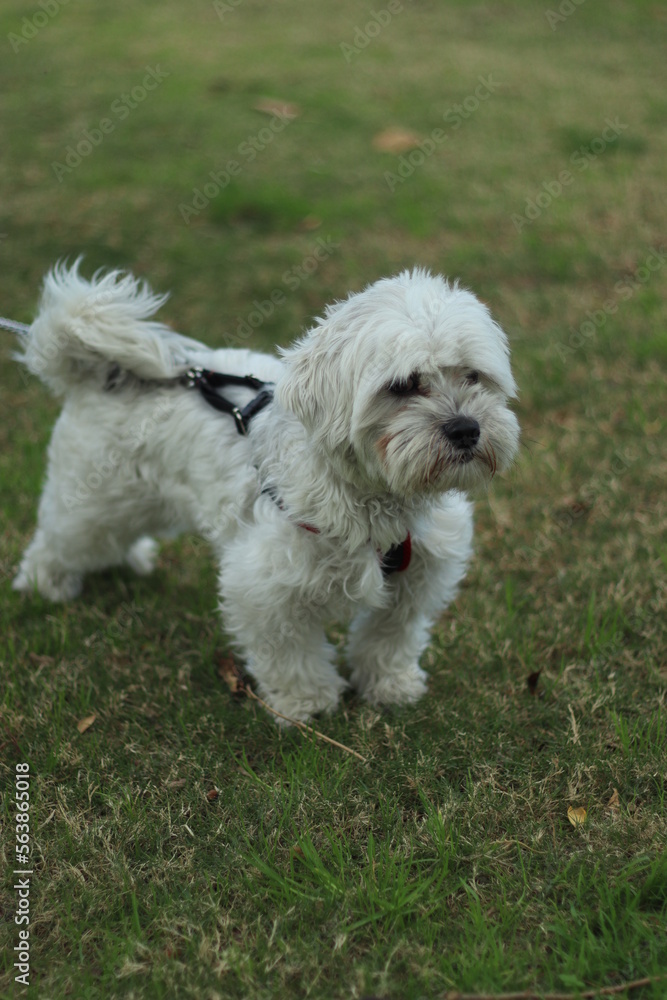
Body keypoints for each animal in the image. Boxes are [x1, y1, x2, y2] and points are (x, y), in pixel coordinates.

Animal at [11, 262, 520, 724]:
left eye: (472, 376)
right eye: (402, 386)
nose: (466, 429)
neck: (380, 496)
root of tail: (104, 373)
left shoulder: (419, 574)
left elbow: (390, 637)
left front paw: (390, 686)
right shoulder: (266, 587)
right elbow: (292, 655)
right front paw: (308, 705)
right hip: (91, 505)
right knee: (56, 542)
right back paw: (44, 586)